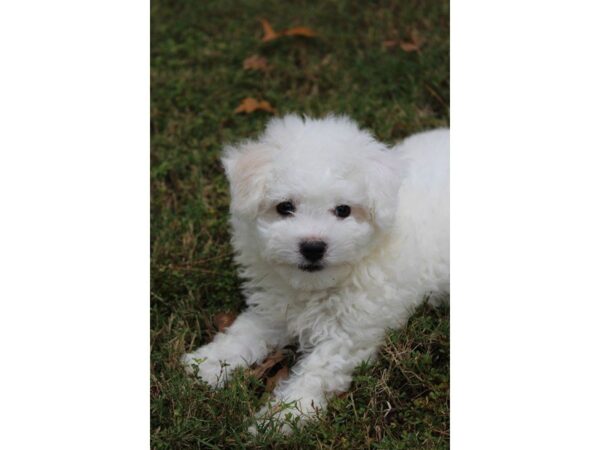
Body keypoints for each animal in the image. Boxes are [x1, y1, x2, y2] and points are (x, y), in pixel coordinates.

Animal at [180, 115, 448, 432]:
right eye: (285, 207)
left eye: (343, 210)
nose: (312, 247)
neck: (314, 286)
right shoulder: (274, 308)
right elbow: (244, 333)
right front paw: (206, 363)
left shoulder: (349, 334)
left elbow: (317, 371)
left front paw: (283, 416)